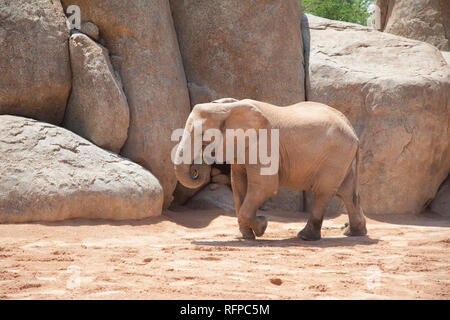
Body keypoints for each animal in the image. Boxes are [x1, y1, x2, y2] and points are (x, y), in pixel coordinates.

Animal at [174, 97, 368, 240]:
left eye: (203, 136)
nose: (196, 170)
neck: (229, 108)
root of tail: (353, 131)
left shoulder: (263, 144)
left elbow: (265, 186)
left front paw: (261, 226)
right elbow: (238, 184)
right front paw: (245, 236)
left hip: (336, 154)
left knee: (323, 191)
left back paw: (305, 237)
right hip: (341, 156)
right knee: (346, 191)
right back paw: (353, 232)